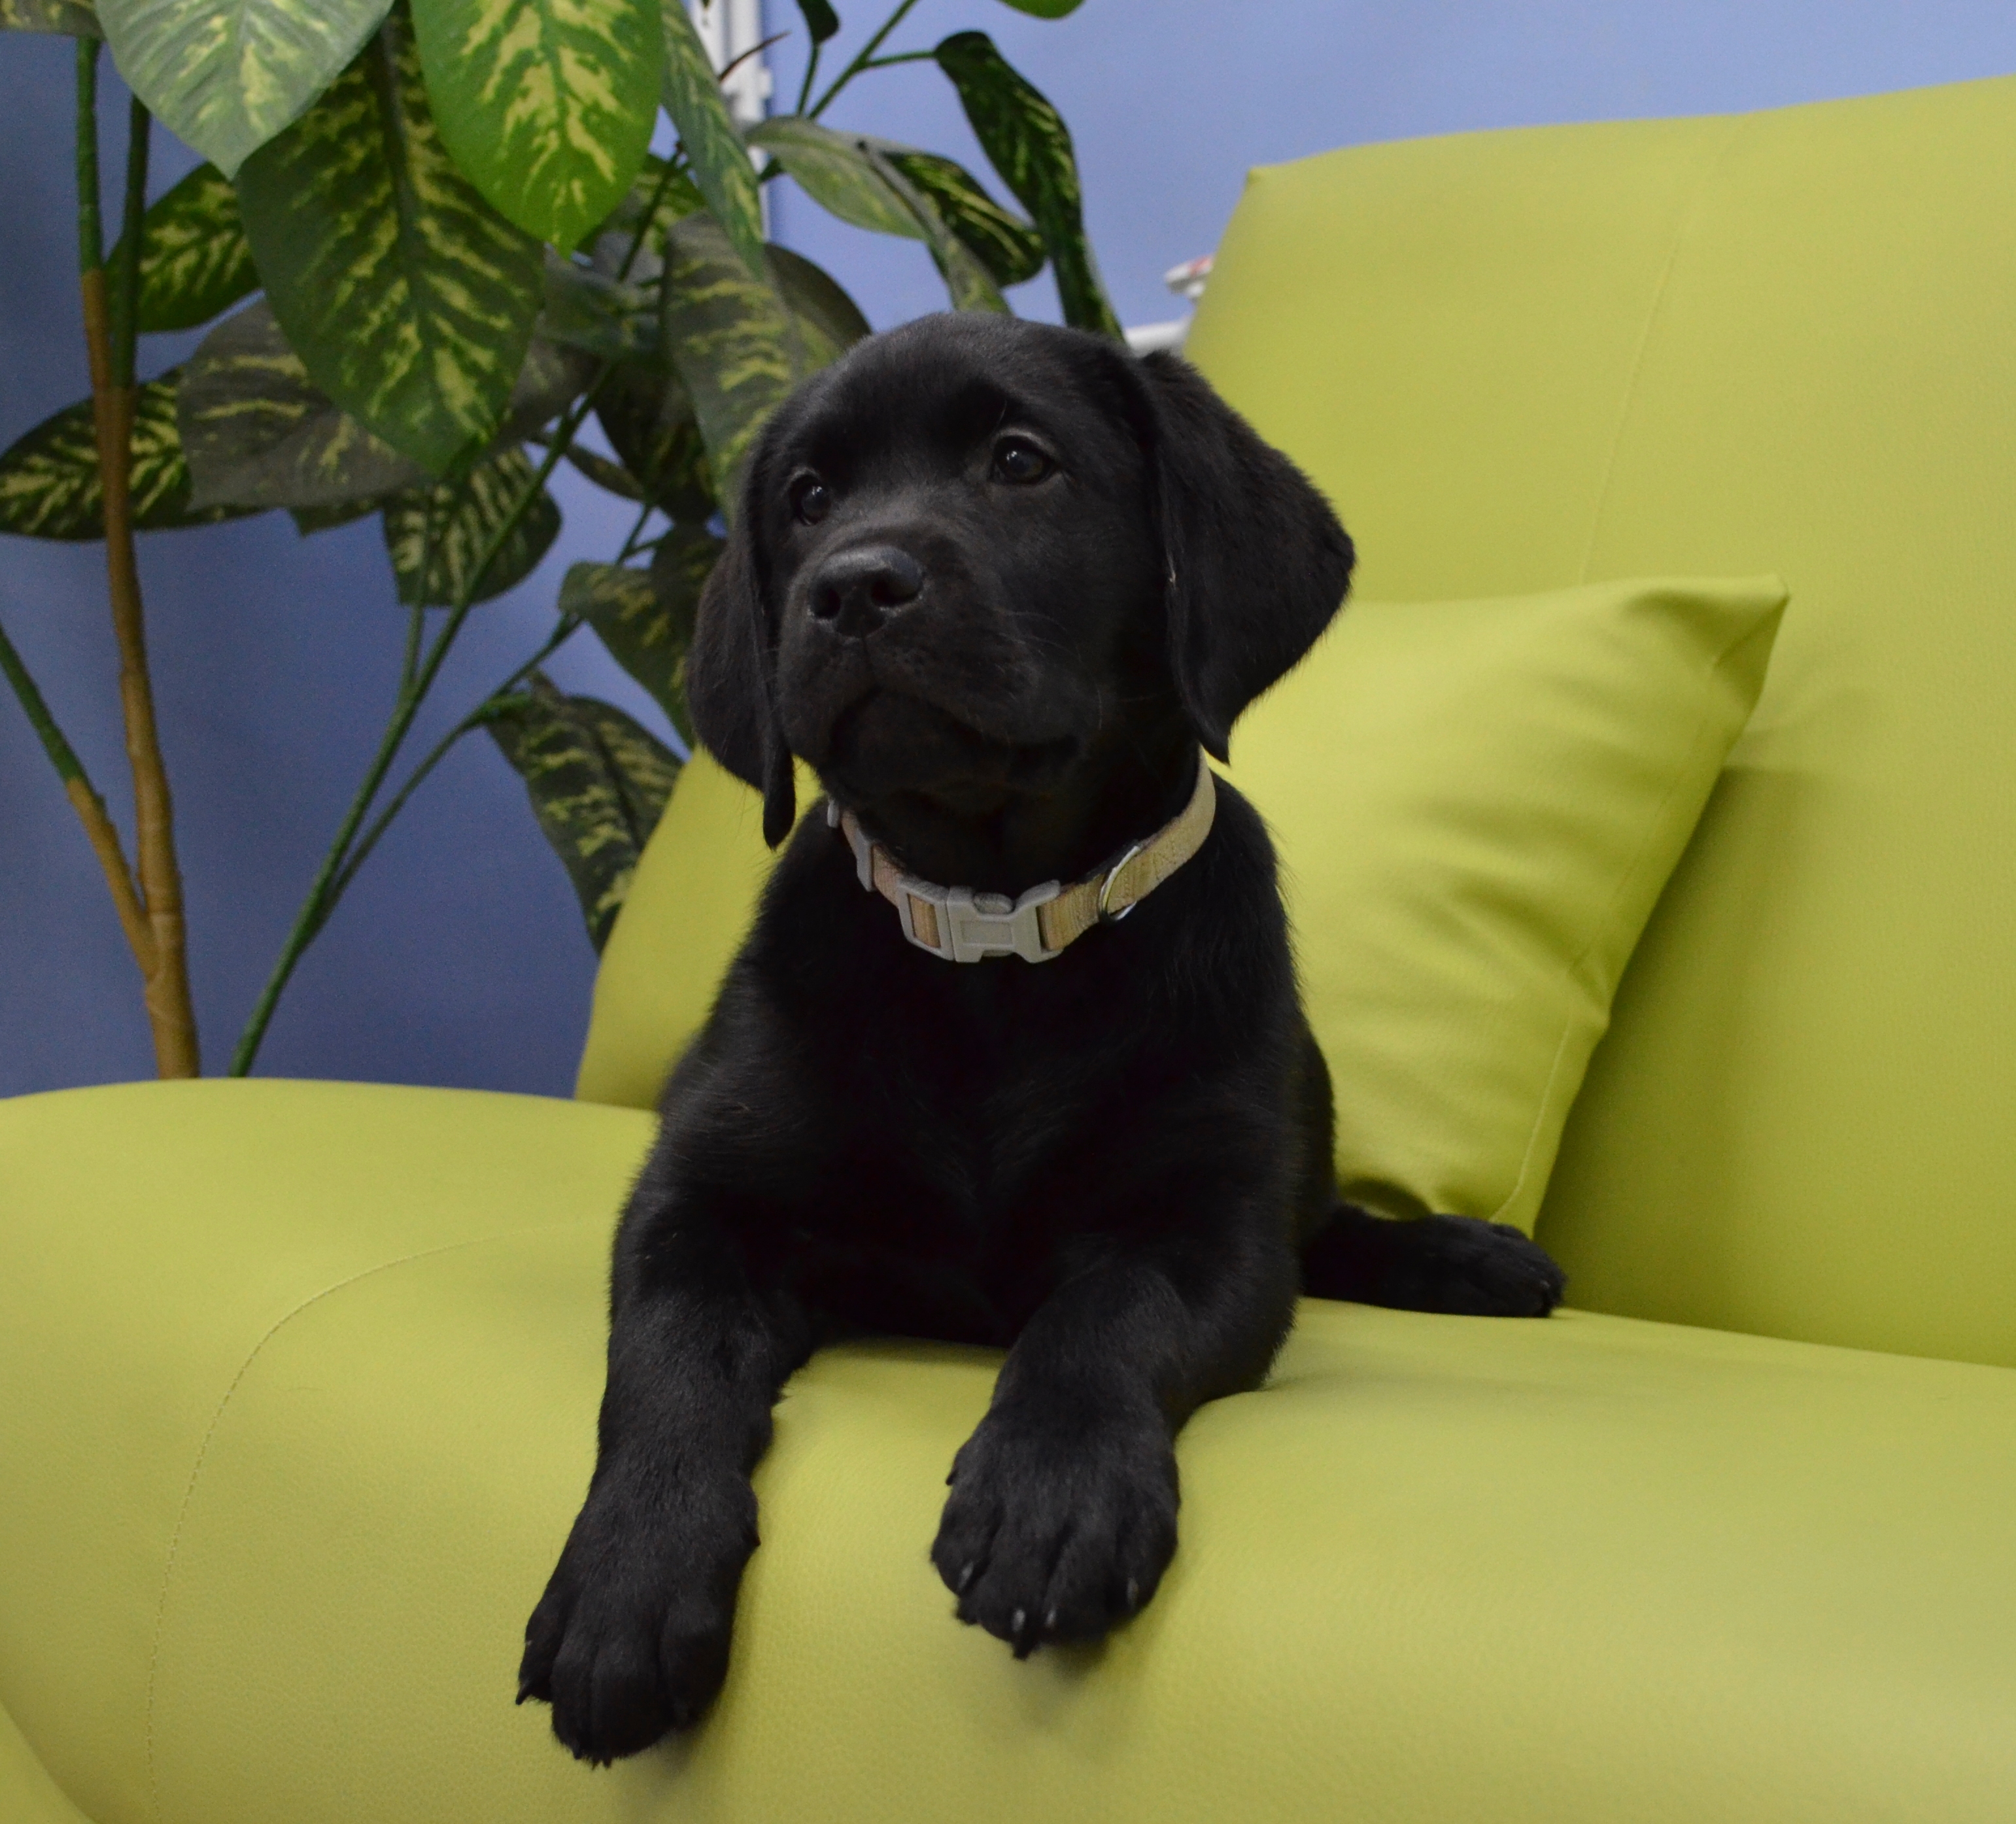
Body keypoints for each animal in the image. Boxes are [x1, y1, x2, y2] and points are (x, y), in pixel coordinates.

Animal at [518, 313, 1565, 1764]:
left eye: (1019, 461)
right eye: (807, 498)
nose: (852, 587)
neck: (996, 938)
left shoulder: (1203, 1221)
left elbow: (1101, 1312)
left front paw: (1050, 1491)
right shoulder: (698, 1196)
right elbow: (664, 1366)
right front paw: (625, 1575)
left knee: (1322, 1224)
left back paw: (1462, 1253)